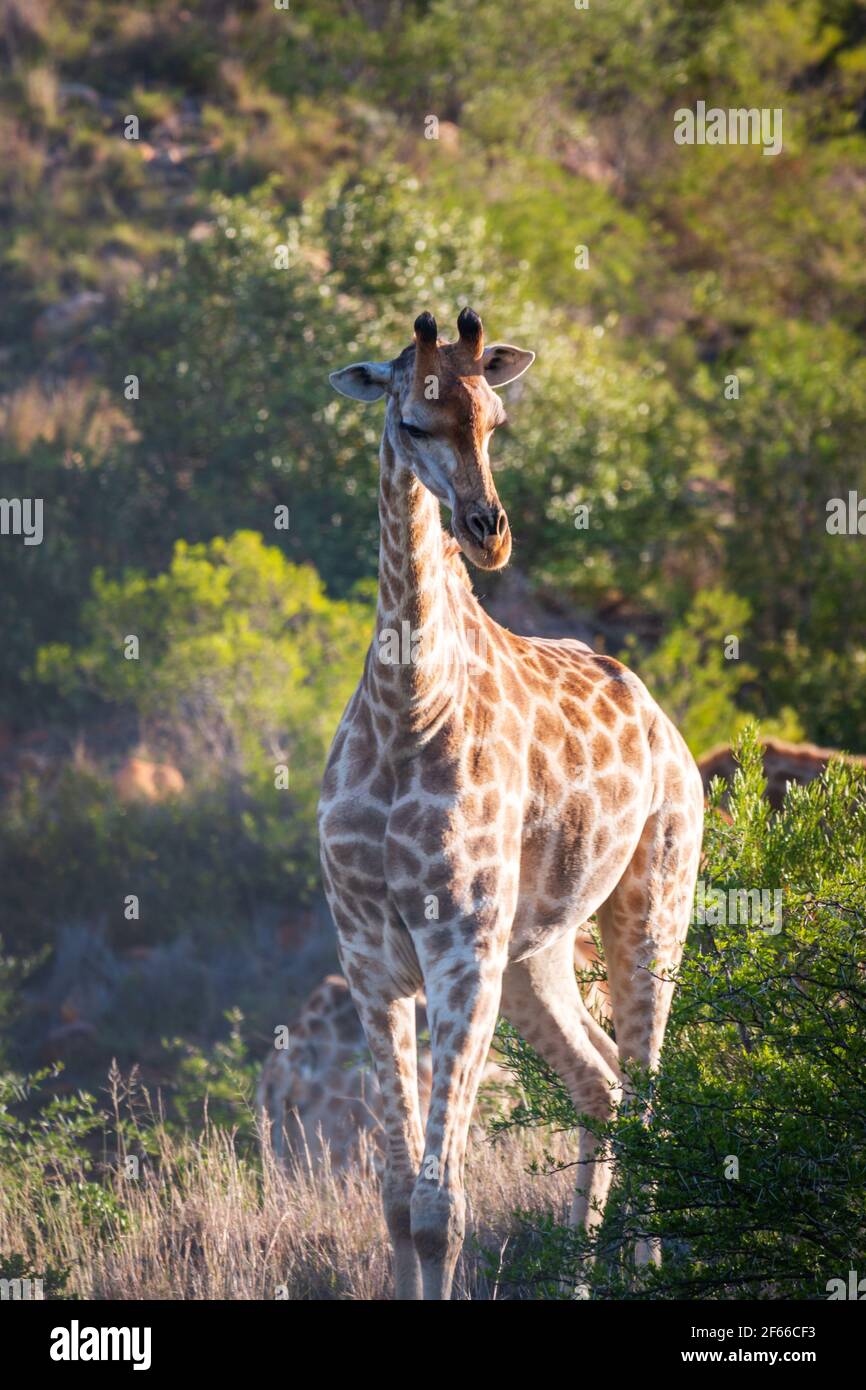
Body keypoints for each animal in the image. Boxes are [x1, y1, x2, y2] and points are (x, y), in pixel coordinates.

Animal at [318, 309, 706, 1295]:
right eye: (412, 421)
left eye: (495, 419)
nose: (486, 531)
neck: (409, 709)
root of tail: (668, 726)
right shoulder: (370, 957)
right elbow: (394, 1202)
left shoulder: (461, 948)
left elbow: (439, 1210)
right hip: (537, 952)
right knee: (601, 1084)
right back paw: (578, 1278)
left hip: (653, 906)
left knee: (650, 1090)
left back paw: (644, 1269)